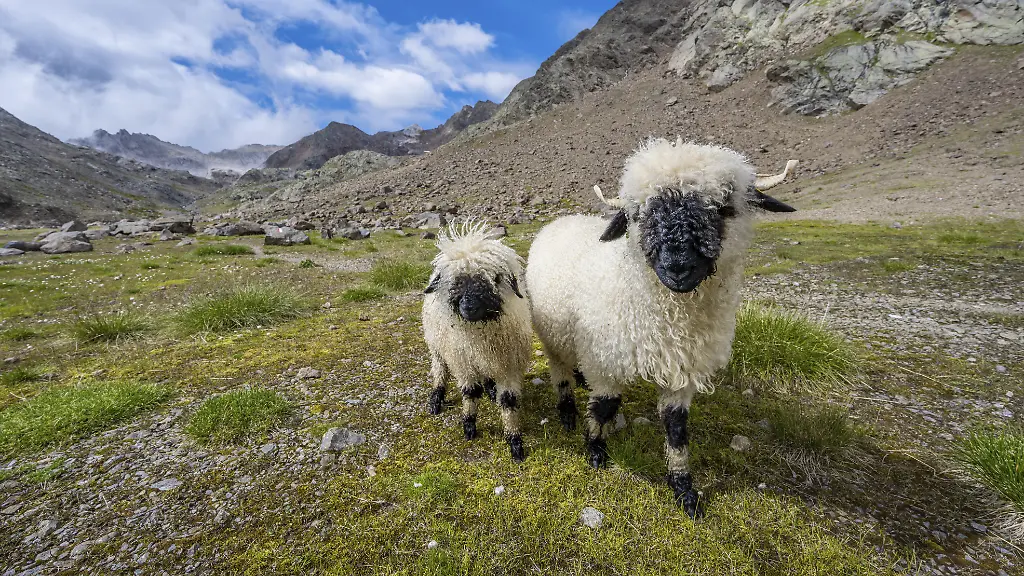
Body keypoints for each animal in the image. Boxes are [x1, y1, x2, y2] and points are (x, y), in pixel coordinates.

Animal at [422, 221, 533, 461]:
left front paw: (515, 442)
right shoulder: (463, 364)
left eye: (495, 278)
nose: (469, 307)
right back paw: (436, 399)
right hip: (436, 346)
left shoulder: (508, 365)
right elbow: (470, 393)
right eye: (455, 281)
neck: (482, 337)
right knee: (439, 370)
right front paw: (469, 426)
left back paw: (490, 389)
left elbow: (509, 401)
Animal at [525, 137, 797, 517]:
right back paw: (567, 409)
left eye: (724, 208)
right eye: (638, 214)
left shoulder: (683, 366)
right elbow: (605, 406)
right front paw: (595, 450)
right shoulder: (605, 359)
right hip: (552, 333)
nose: (677, 267)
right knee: (560, 368)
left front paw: (684, 489)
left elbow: (676, 427)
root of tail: (561, 221)